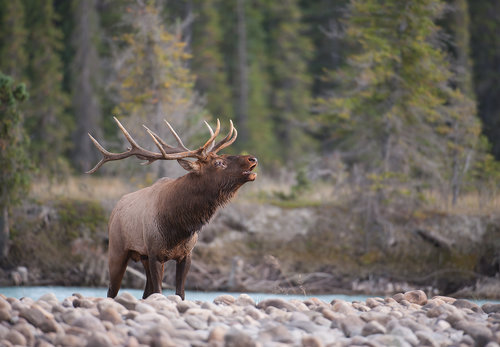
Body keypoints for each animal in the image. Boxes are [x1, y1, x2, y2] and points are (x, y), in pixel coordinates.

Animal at [87, 118, 258, 300]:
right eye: (219, 162)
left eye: (222, 156)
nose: (252, 158)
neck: (178, 227)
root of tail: (114, 211)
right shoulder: (155, 254)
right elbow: (159, 292)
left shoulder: (185, 255)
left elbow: (179, 293)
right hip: (117, 250)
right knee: (111, 291)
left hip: (143, 256)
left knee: (145, 293)